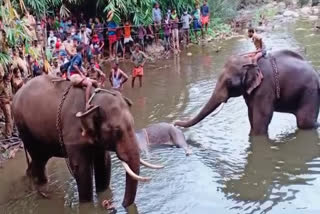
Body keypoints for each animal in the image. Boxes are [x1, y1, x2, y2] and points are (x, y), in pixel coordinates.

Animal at [11, 75, 162, 207]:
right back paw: (43, 189)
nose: (121, 204)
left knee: (39, 159)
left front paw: (103, 195)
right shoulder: (73, 136)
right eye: (116, 131)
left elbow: (104, 163)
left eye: (133, 124)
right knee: (39, 160)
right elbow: (81, 169)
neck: (91, 101)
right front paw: (87, 204)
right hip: (25, 128)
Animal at [175, 49, 320, 135]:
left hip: (310, 92)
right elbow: (251, 115)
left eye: (229, 83)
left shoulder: (265, 87)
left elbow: (261, 118)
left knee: (304, 122)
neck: (249, 60)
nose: (175, 123)